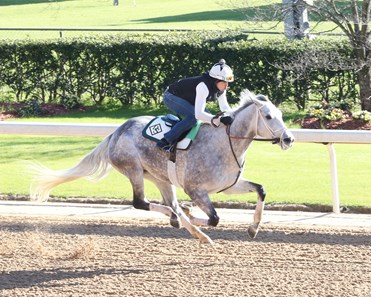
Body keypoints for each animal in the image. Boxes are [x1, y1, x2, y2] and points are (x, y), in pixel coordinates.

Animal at [30, 89, 294, 243]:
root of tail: (116, 132)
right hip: (134, 170)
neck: (224, 143)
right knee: (141, 202)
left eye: (281, 114)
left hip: (160, 177)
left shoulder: (228, 185)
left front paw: (253, 229)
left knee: (171, 204)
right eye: (268, 117)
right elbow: (214, 219)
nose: (289, 139)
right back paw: (186, 223)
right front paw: (193, 217)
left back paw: (187, 224)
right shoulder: (196, 190)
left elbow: (260, 190)